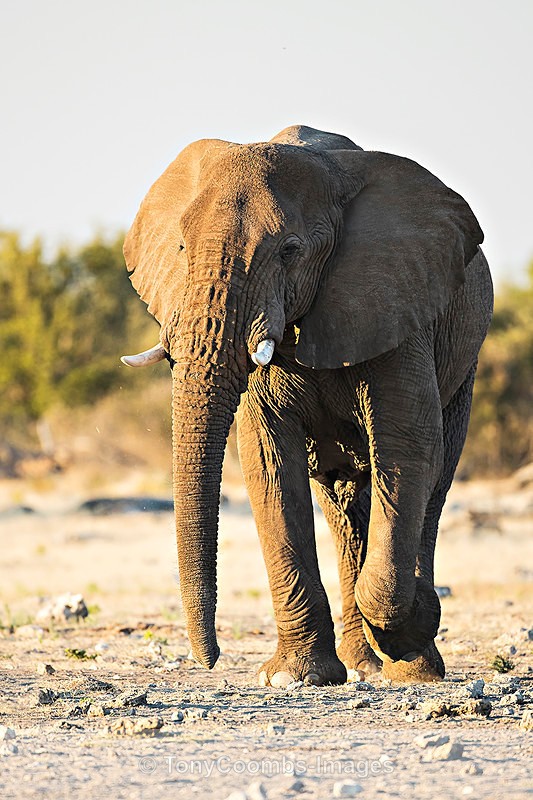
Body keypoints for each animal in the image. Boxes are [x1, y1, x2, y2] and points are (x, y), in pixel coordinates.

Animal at [121, 125, 493, 686]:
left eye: (290, 251)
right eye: (182, 246)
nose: (209, 660)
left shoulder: (395, 299)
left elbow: (407, 447)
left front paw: (411, 633)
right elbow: (270, 461)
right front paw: (295, 677)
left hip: (463, 357)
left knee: (435, 479)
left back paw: (409, 661)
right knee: (343, 500)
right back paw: (364, 662)